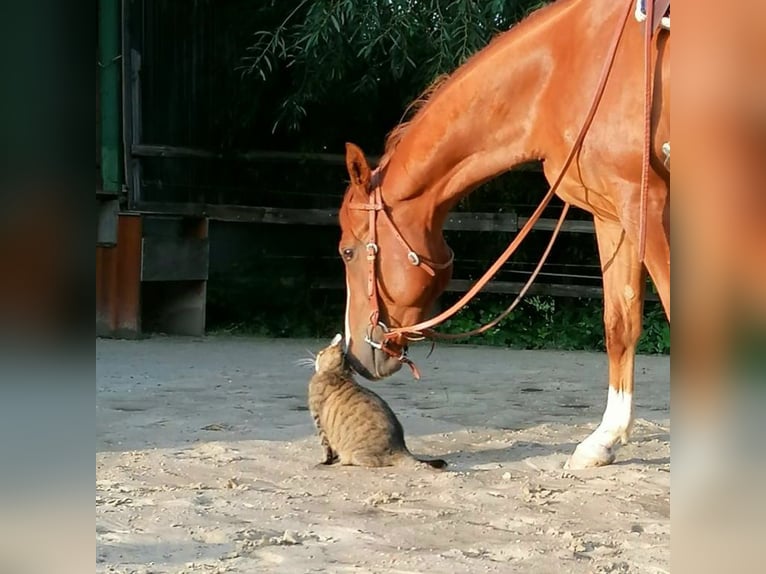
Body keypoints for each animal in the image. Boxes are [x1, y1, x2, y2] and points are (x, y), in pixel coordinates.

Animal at [337, 0, 670, 469]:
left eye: (348, 251)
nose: (356, 355)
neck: (566, 71)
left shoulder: (648, 206)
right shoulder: (613, 214)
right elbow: (620, 324)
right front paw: (603, 440)